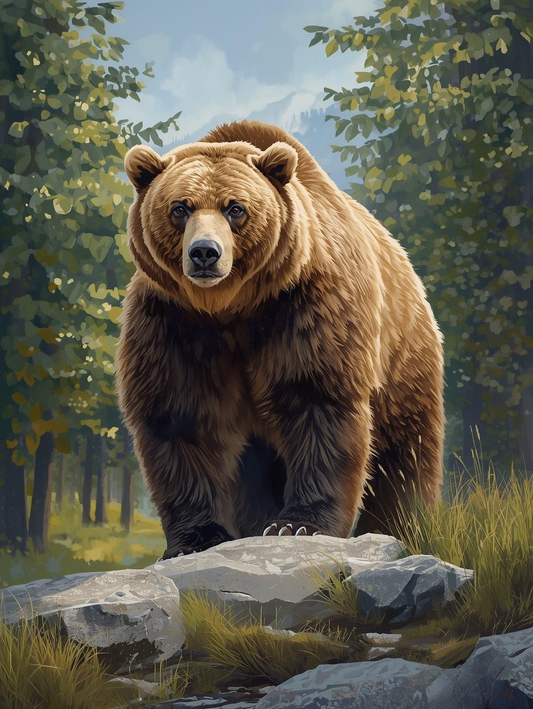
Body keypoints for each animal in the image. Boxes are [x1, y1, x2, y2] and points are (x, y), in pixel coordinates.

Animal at [115, 119, 444, 560]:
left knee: (404, 445)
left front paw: (297, 524)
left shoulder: (309, 307)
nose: (204, 253)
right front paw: (195, 540)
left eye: (235, 208)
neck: (232, 308)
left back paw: (399, 525)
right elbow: (179, 418)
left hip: (402, 351)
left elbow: (319, 403)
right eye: (180, 207)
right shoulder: (172, 323)